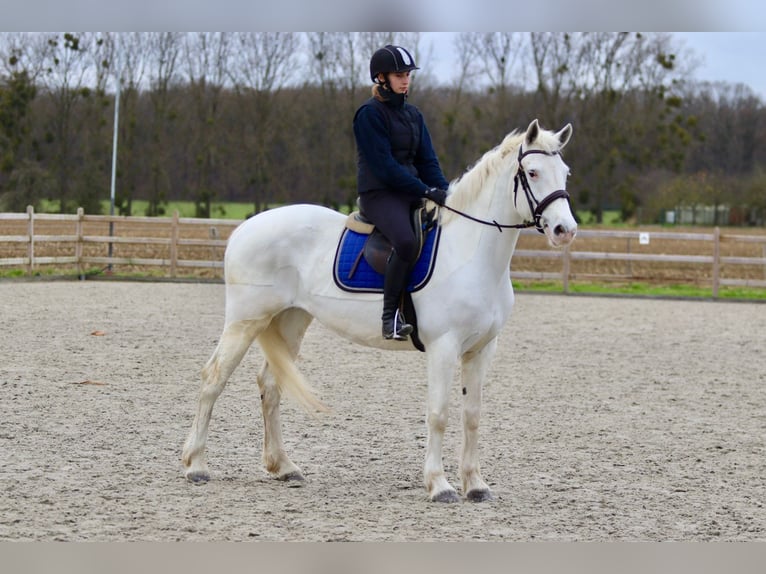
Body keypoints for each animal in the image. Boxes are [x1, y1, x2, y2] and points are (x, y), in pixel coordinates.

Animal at [183, 118, 576, 504]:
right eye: (533, 172)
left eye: (565, 173)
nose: (565, 230)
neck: (470, 253)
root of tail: (244, 228)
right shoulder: (444, 347)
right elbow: (439, 414)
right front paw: (440, 485)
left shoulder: (481, 349)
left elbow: (472, 416)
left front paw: (476, 485)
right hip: (245, 321)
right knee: (213, 378)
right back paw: (196, 465)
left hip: (290, 320)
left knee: (270, 385)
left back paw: (283, 467)